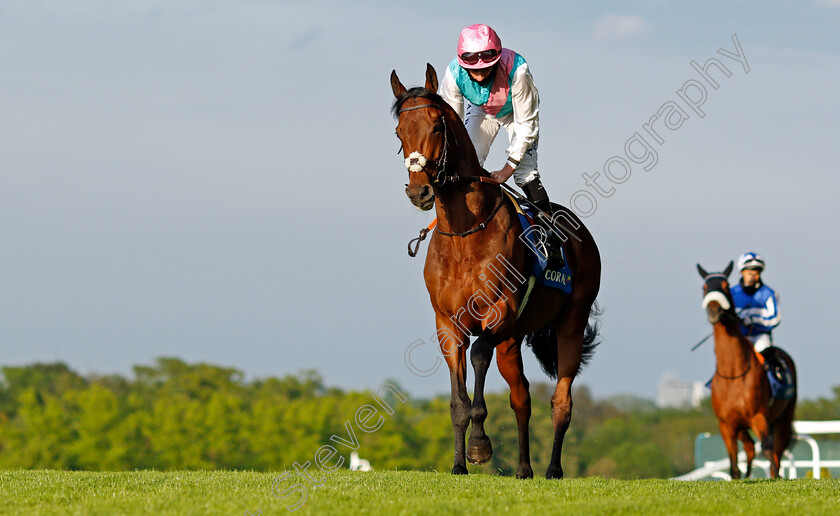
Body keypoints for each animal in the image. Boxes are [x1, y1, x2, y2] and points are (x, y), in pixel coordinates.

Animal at [390, 64, 600, 480]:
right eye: (399, 132)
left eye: (436, 126)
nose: (419, 192)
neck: (464, 233)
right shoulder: (447, 323)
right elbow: (458, 400)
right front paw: (459, 464)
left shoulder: (498, 311)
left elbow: (478, 358)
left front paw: (479, 446)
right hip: (513, 340)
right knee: (522, 397)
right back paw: (524, 469)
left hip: (571, 321)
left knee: (562, 400)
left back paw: (553, 469)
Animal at [700, 262, 796, 480]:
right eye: (705, 287)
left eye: (726, 286)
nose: (714, 310)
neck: (733, 373)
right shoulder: (726, 424)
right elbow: (734, 462)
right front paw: (740, 477)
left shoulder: (758, 416)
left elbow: (768, 449)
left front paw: (776, 478)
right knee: (750, 447)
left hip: (783, 417)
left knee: (777, 448)